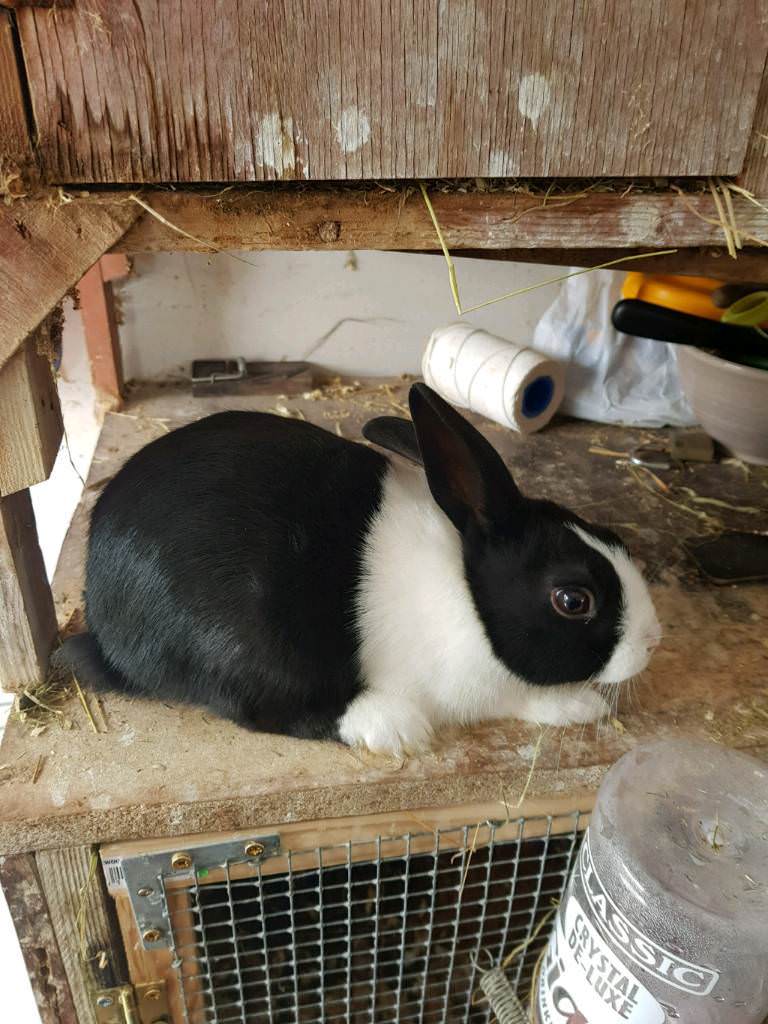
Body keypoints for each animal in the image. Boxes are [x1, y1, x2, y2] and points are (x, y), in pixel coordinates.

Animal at [57, 383, 660, 755]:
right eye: (573, 600)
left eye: (612, 536)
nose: (653, 641)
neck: (468, 591)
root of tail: (106, 632)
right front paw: (581, 703)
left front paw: (579, 703)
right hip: (244, 648)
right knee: (270, 710)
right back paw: (393, 726)